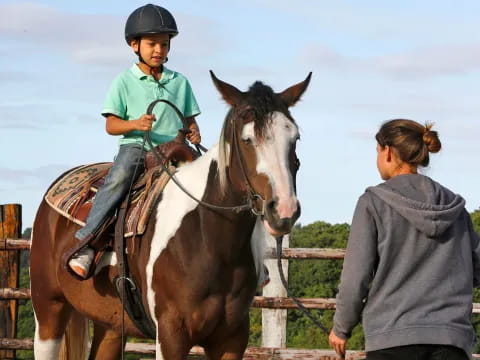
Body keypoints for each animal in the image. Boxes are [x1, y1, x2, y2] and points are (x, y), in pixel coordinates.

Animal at [30, 71, 312, 360]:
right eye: (247, 140)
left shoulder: (232, 339)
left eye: (295, 138)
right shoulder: (170, 334)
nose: (283, 210)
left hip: (110, 326)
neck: (207, 239)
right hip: (48, 308)